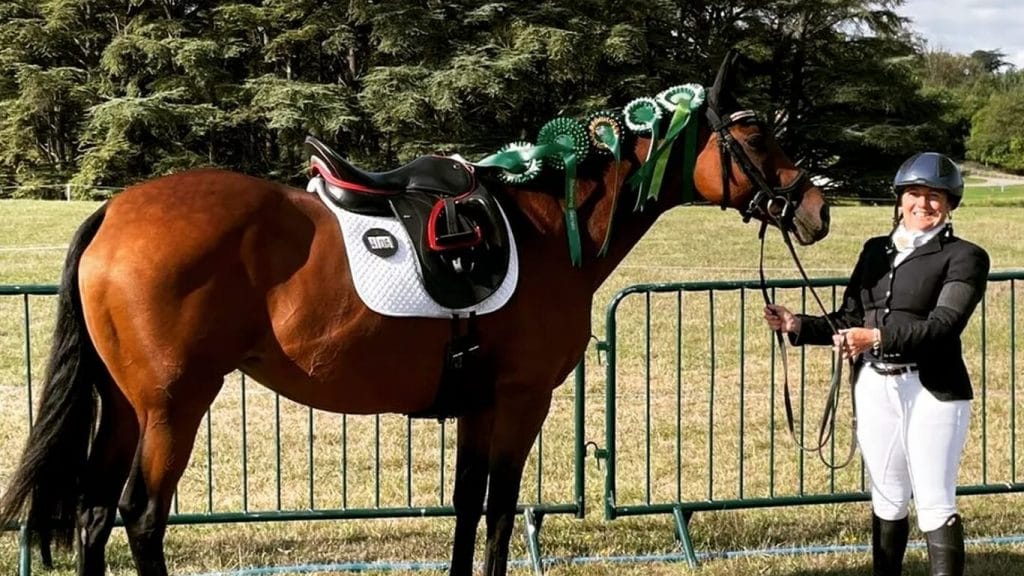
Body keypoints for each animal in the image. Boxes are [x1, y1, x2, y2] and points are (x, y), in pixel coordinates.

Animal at [0, 54, 829, 576]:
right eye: (756, 134)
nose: (815, 208)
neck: (541, 225)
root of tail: (114, 213)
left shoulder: (477, 405)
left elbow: (466, 509)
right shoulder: (521, 400)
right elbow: (500, 512)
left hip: (126, 405)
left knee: (94, 516)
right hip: (175, 405)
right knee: (140, 517)